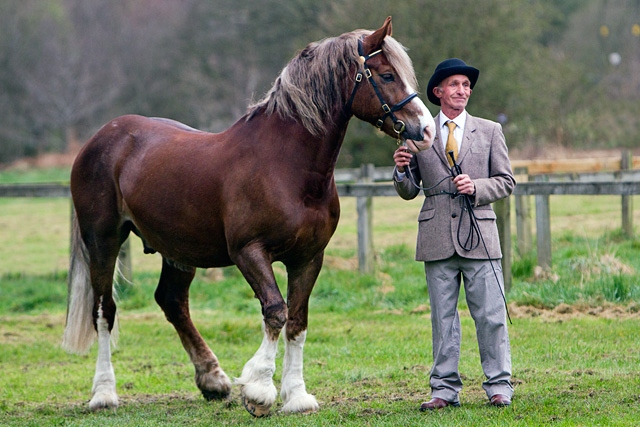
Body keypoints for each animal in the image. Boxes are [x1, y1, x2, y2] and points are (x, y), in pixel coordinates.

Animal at [62, 17, 436, 418]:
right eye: (386, 75)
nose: (427, 130)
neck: (285, 166)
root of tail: (103, 137)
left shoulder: (309, 257)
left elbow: (297, 320)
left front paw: (296, 395)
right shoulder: (249, 252)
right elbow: (275, 312)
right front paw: (259, 389)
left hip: (178, 250)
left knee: (172, 301)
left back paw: (212, 380)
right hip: (103, 241)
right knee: (104, 310)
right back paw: (104, 393)